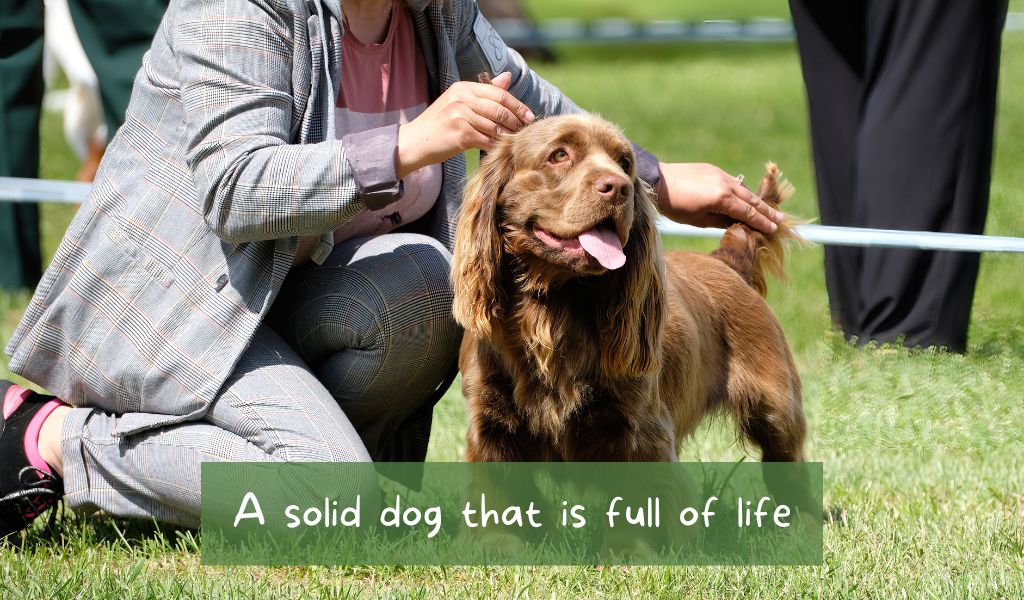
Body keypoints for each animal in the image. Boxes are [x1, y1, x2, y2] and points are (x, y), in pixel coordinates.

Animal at [456, 114, 806, 464]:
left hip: (777, 412)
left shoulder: (642, 432)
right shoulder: (493, 432)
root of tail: (727, 259)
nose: (618, 188)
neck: (551, 309)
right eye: (559, 155)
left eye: (624, 163)